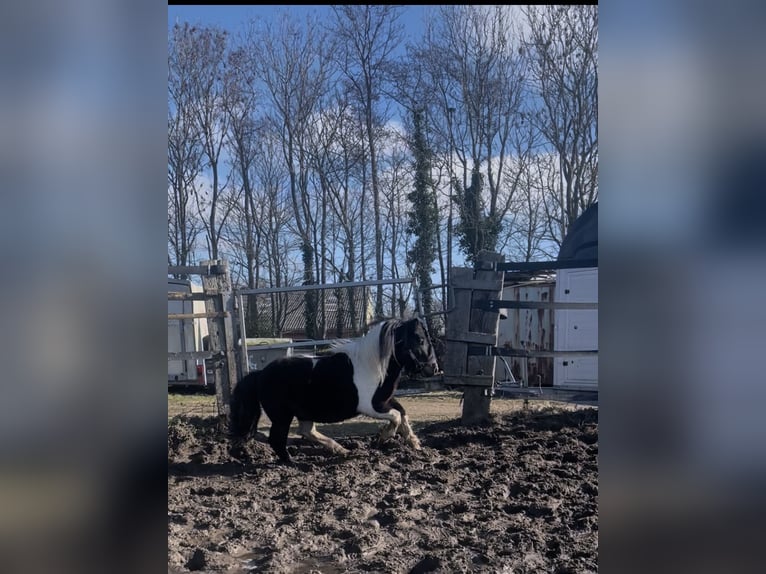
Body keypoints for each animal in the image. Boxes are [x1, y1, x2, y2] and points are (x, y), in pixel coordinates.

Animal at [228, 317, 441, 464]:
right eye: (420, 339)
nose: (434, 368)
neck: (372, 366)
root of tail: (260, 374)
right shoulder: (371, 406)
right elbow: (396, 416)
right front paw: (382, 438)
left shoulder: (384, 401)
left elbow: (402, 413)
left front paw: (414, 443)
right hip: (282, 417)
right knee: (278, 440)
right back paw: (292, 461)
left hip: (303, 413)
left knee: (307, 431)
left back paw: (341, 450)